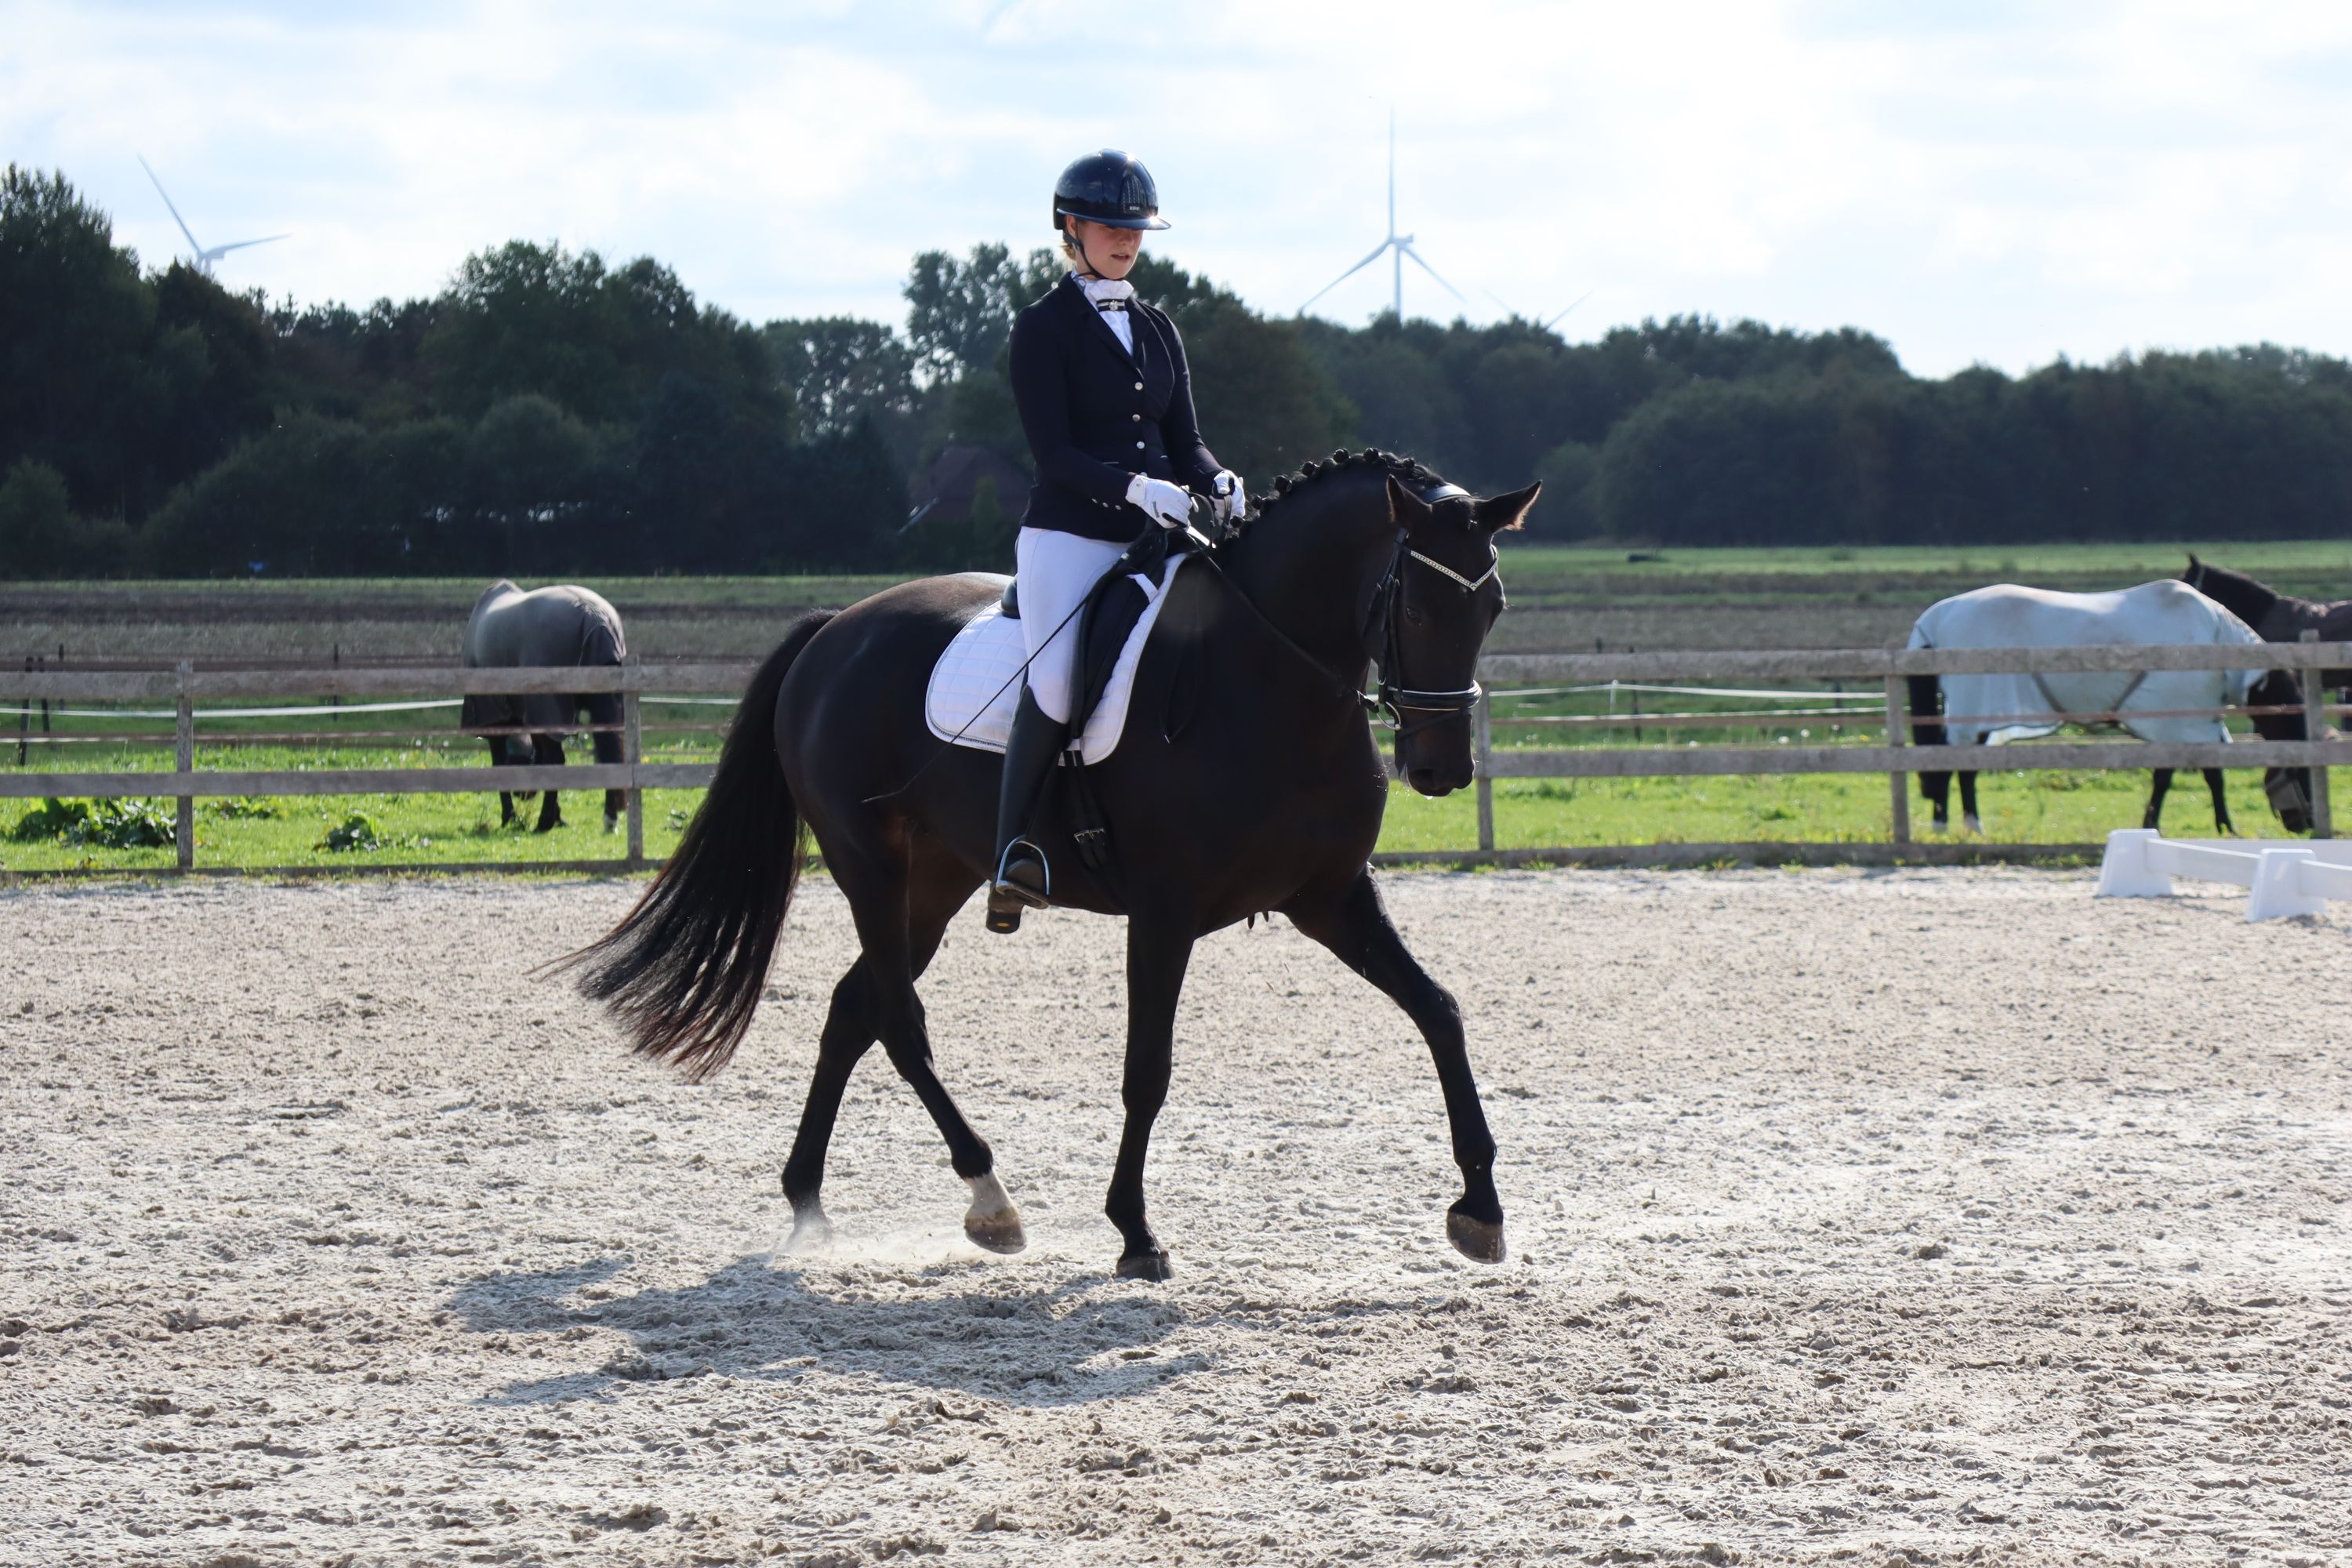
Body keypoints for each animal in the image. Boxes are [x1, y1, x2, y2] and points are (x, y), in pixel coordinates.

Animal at [460, 580, 628, 834]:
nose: (523, 795)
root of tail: (595, 619)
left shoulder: (497, 719)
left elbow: (501, 763)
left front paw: (509, 817)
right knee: (610, 753)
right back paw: (609, 819)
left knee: (558, 760)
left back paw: (544, 822)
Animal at [562, 451, 1539, 1281]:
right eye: (1417, 606)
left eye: (1492, 606)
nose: (1442, 769)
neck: (1268, 678)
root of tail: (835, 630)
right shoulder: (1166, 912)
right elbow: (1148, 1067)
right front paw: (1136, 1233)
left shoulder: (1332, 898)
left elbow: (1440, 1011)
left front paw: (1481, 1209)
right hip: (868, 865)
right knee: (900, 1020)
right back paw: (990, 1198)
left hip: (936, 879)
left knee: (852, 1008)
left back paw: (808, 1200)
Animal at [1903, 581, 2313, 836]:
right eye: (2302, 772)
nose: (2305, 825)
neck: (2213, 638)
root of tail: (1936, 618)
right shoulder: (2178, 720)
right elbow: (2184, 777)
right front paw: (2210, 827)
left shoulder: (2188, 723)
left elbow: (2201, 777)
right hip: (1977, 708)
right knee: (1959, 766)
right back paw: (1964, 826)